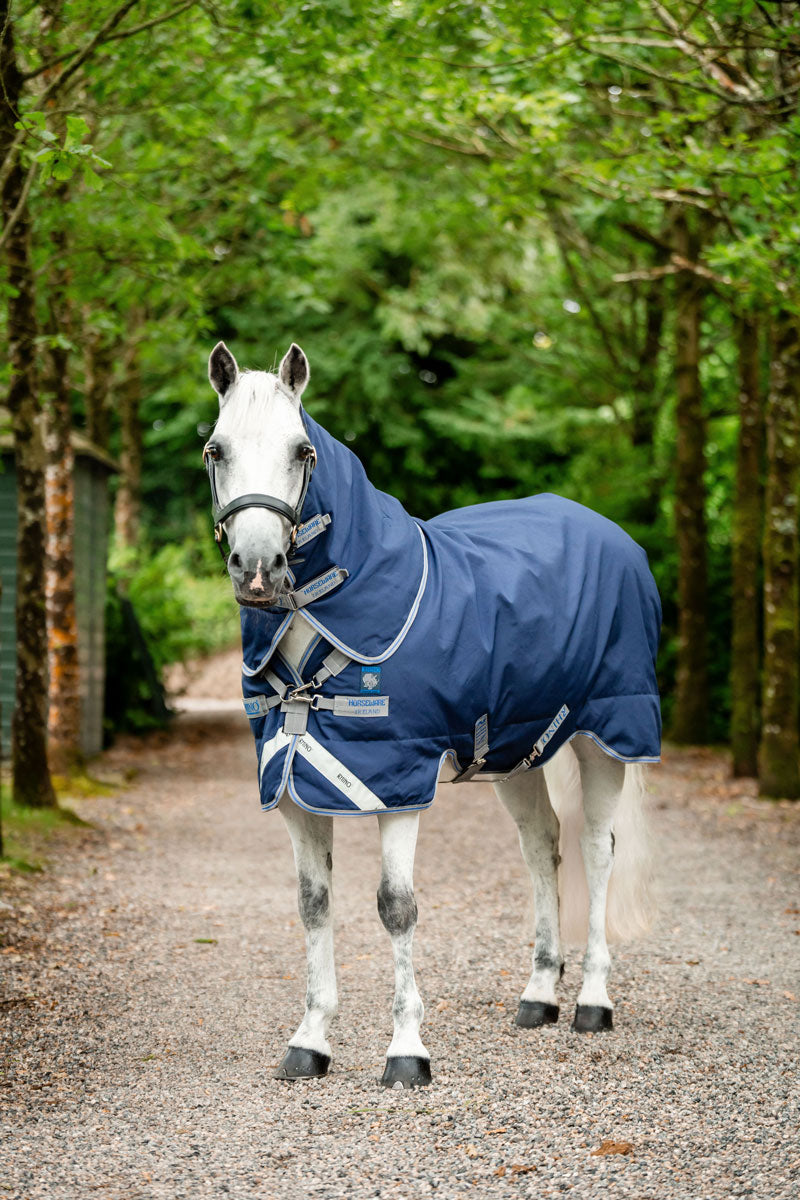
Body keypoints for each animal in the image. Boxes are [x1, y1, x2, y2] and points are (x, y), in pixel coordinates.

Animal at [204, 340, 661, 1089]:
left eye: (303, 451)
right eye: (216, 449)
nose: (259, 569)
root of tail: (614, 536)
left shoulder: (395, 784)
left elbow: (396, 907)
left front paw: (406, 1051)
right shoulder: (295, 785)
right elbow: (313, 904)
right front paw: (310, 1041)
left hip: (606, 736)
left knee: (598, 850)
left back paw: (593, 1000)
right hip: (516, 753)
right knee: (543, 847)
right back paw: (539, 995)